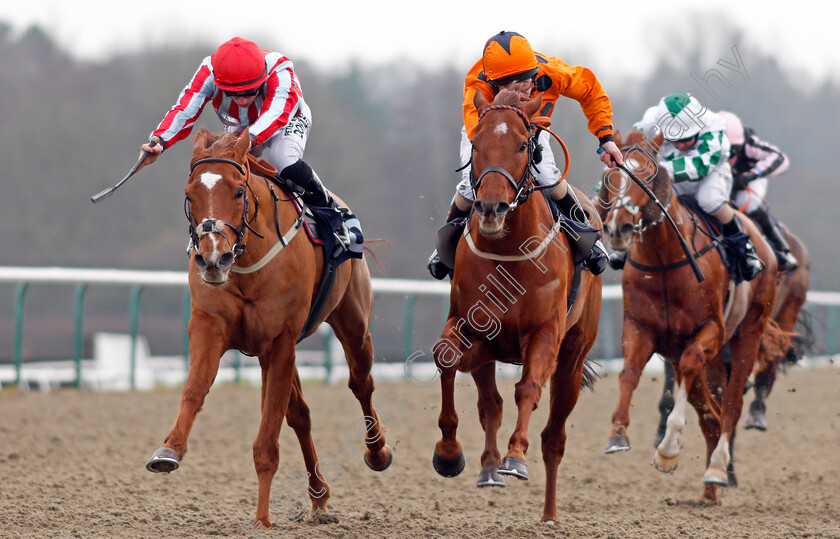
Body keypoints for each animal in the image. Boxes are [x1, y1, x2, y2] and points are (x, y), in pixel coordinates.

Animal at [145, 130, 394, 528]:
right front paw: (169, 449)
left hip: (353, 325)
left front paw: (262, 519)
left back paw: (377, 452)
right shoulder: (209, 325)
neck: (247, 263)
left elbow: (267, 441)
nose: (212, 258)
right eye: (189, 195)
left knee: (361, 384)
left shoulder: (280, 341)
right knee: (301, 415)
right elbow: (195, 389)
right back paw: (319, 497)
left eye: (238, 192)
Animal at [434, 90, 604, 524]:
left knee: (554, 437)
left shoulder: (544, 332)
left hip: (574, 356)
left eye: (523, 145)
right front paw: (449, 454)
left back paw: (548, 513)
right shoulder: (472, 326)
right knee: (489, 404)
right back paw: (488, 469)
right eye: (476, 145)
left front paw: (514, 456)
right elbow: (446, 358)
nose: (491, 208)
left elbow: (527, 388)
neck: (508, 251)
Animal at [596, 130, 780, 502]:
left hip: (748, 332)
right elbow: (629, 373)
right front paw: (618, 434)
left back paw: (717, 469)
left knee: (731, 404)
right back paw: (710, 489)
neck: (664, 260)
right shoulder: (641, 329)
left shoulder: (709, 331)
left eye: (647, 174)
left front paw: (667, 451)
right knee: (711, 411)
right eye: (611, 176)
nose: (619, 229)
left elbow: (692, 368)